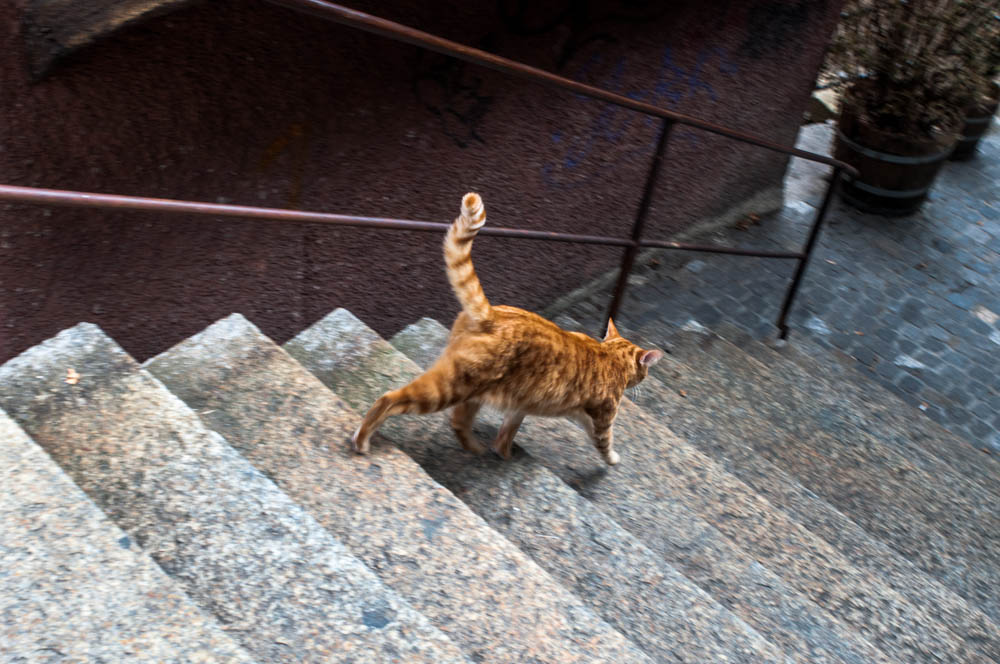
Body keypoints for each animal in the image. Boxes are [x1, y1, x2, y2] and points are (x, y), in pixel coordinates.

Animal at [354, 189, 664, 464]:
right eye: (644, 373)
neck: (611, 355)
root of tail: (490, 314)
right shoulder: (601, 419)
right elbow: (605, 444)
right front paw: (613, 460)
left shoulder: (523, 404)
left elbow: (508, 431)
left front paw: (502, 452)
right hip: (448, 389)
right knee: (389, 399)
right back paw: (362, 440)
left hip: (474, 391)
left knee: (458, 422)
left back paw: (475, 449)